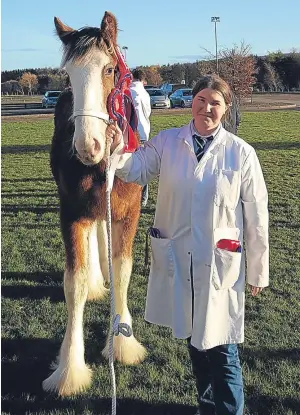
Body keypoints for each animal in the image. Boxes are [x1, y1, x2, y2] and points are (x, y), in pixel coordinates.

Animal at [43, 12, 146, 396]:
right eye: (68, 76)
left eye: (110, 69)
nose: (89, 145)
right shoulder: (71, 215)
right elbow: (74, 284)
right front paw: (69, 370)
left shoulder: (129, 216)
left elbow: (123, 270)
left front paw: (122, 344)